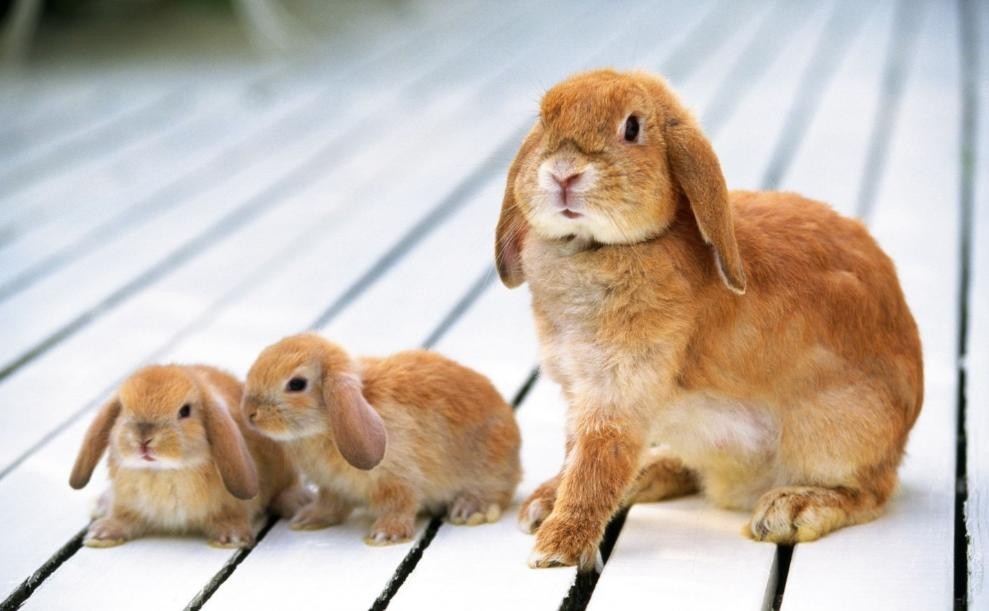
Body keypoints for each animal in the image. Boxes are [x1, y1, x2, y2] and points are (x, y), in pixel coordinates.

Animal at [69, 364, 308, 548]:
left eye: (184, 411)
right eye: (124, 410)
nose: (144, 440)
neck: (165, 471)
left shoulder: (231, 505)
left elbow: (231, 517)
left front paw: (231, 538)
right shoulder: (129, 505)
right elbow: (123, 519)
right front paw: (101, 534)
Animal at [242, 333, 522, 545]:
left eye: (296, 384)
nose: (249, 413)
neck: (326, 427)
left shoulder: (397, 477)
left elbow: (398, 504)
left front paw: (384, 536)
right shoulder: (332, 486)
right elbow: (329, 504)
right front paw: (307, 519)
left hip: (489, 466)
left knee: (496, 491)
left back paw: (470, 510)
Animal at [494, 69, 923, 570]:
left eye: (632, 128)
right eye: (545, 120)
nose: (563, 172)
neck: (596, 248)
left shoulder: (619, 392)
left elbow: (596, 465)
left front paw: (556, 547)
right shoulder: (580, 392)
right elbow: (573, 458)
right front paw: (544, 505)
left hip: (835, 433)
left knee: (871, 492)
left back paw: (792, 509)